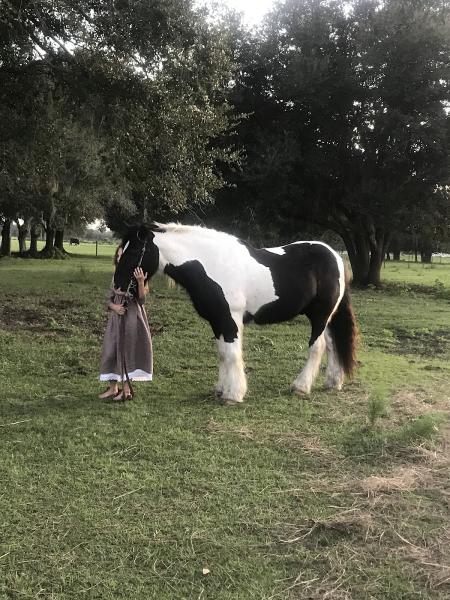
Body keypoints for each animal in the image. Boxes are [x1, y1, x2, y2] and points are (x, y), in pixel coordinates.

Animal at [114, 221, 356, 404]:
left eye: (134, 251)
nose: (118, 288)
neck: (212, 264)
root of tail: (335, 256)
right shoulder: (217, 321)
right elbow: (222, 353)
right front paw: (221, 390)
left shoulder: (230, 320)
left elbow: (232, 354)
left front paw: (234, 395)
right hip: (327, 317)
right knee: (333, 345)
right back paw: (333, 382)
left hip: (320, 315)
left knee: (318, 347)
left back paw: (301, 386)